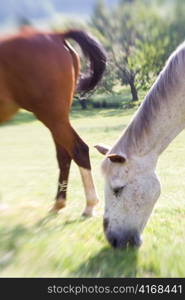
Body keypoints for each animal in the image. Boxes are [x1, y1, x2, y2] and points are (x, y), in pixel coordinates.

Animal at [0, 28, 106, 216]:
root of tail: (56, 35)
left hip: (52, 117)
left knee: (78, 150)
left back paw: (90, 204)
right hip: (57, 119)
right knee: (64, 155)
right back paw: (59, 202)